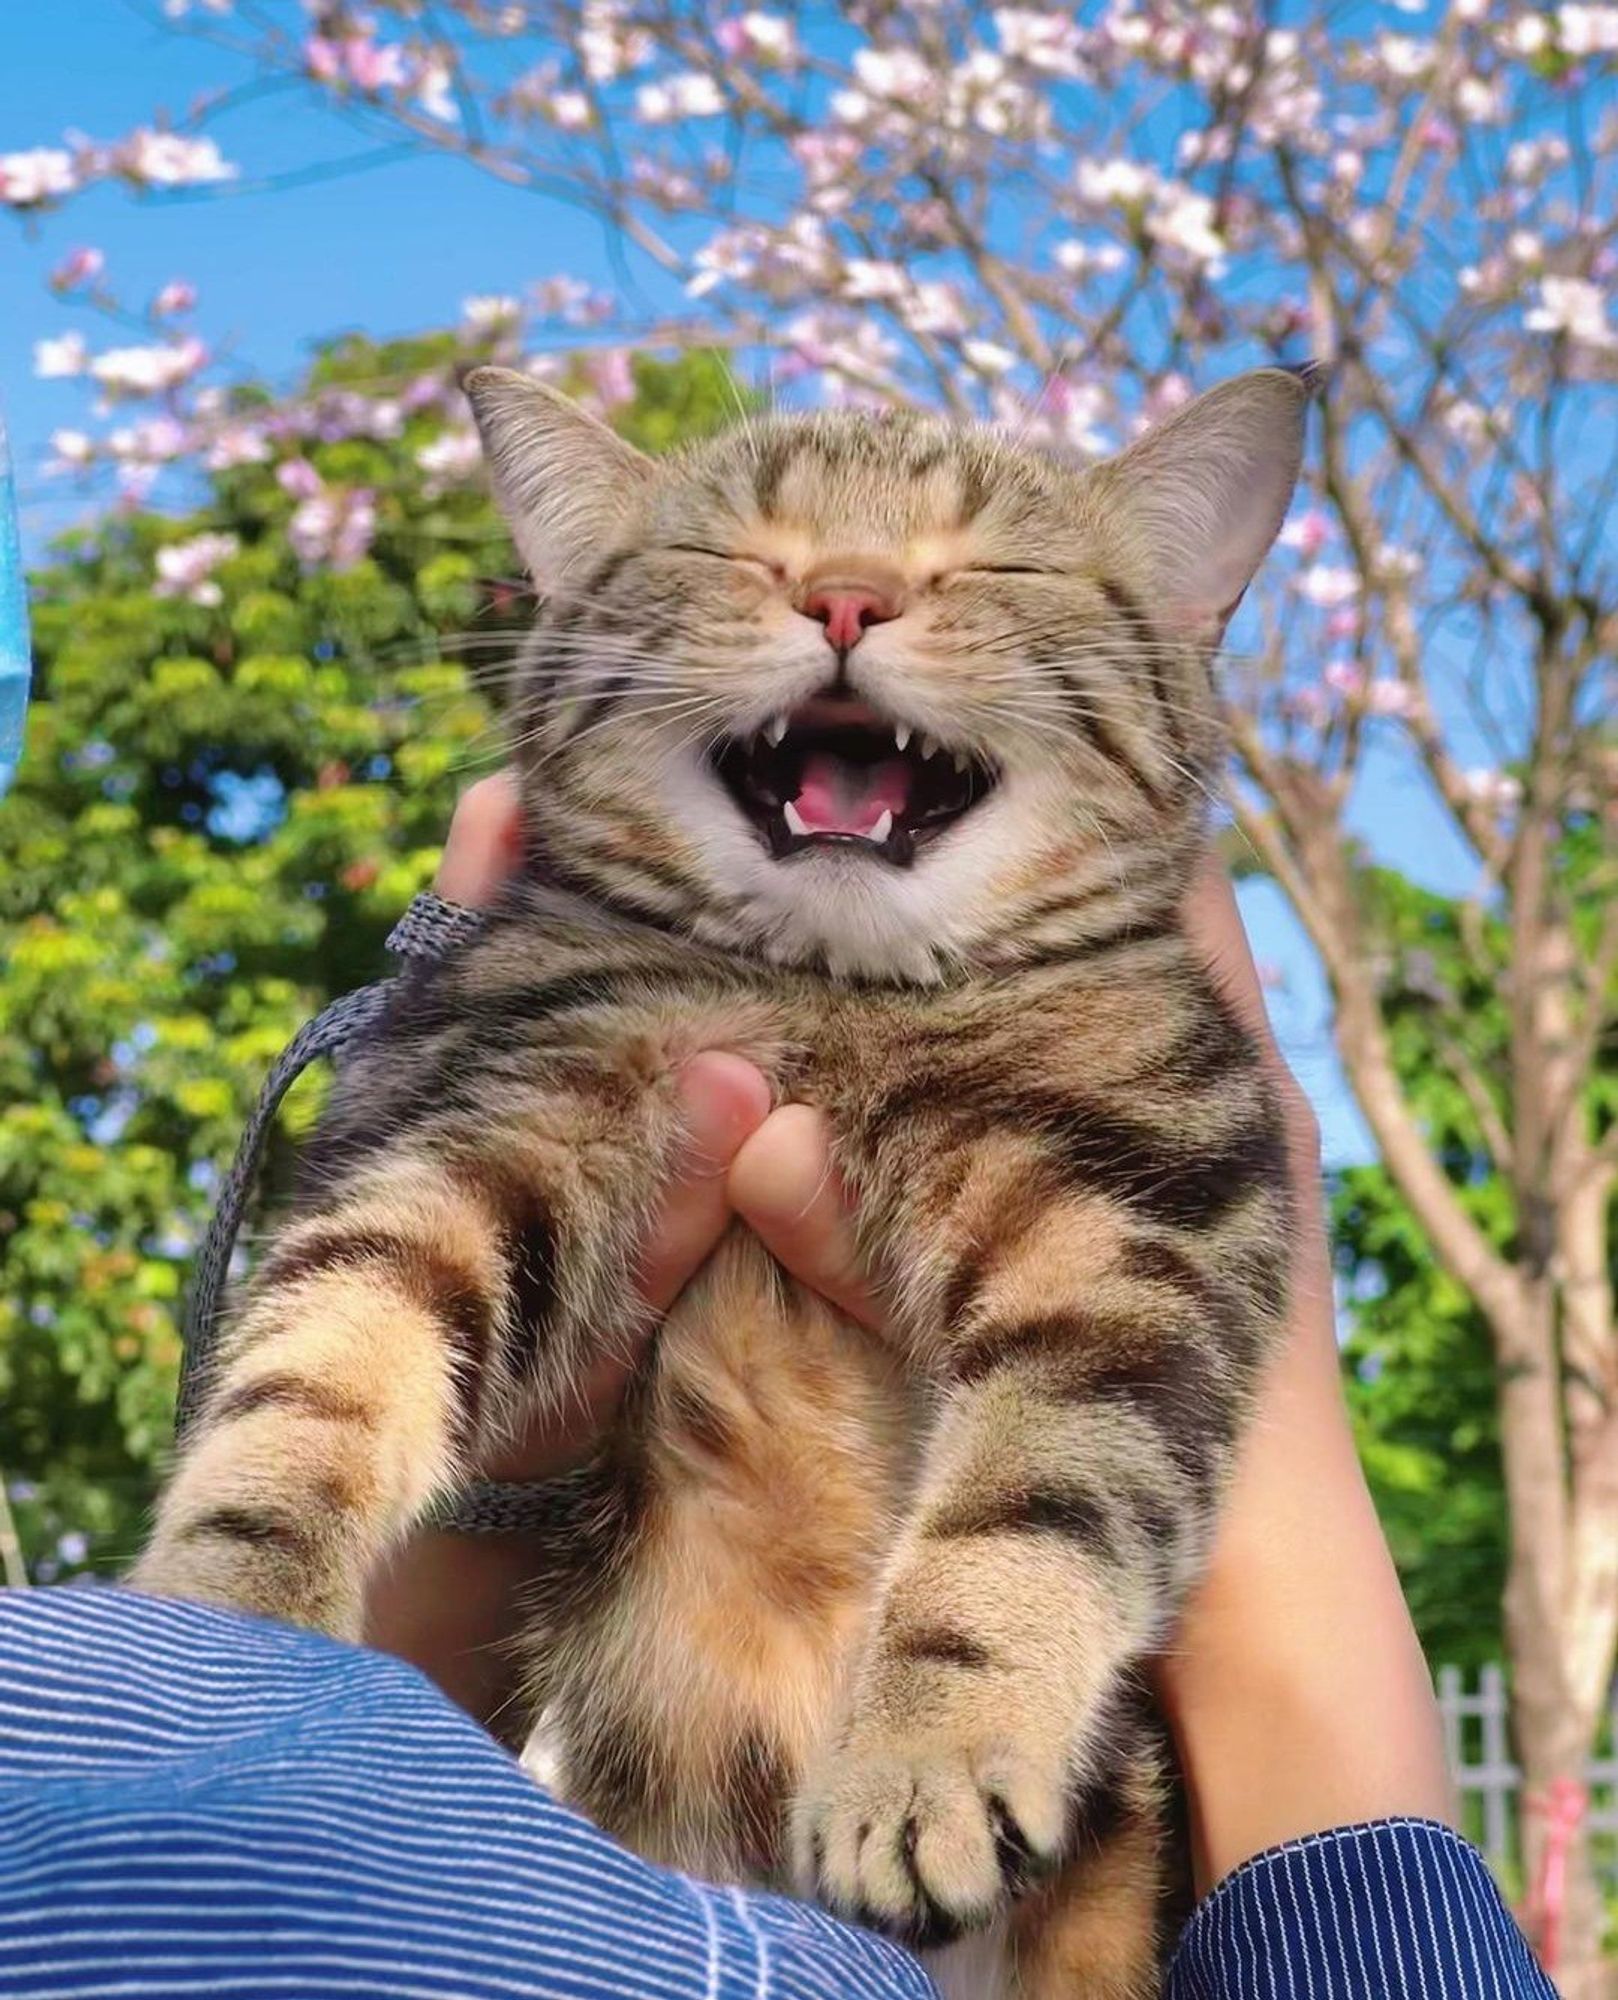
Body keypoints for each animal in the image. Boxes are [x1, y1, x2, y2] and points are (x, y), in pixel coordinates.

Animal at [133, 364, 1304, 2000]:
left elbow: (1033, 1502)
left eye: (994, 564)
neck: (827, 997)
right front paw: (228, 1629)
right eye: (732, 549)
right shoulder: (470, 1115)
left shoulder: (1139, 1222)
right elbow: (317, 1377)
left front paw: (927, 1756)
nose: (846, 596)